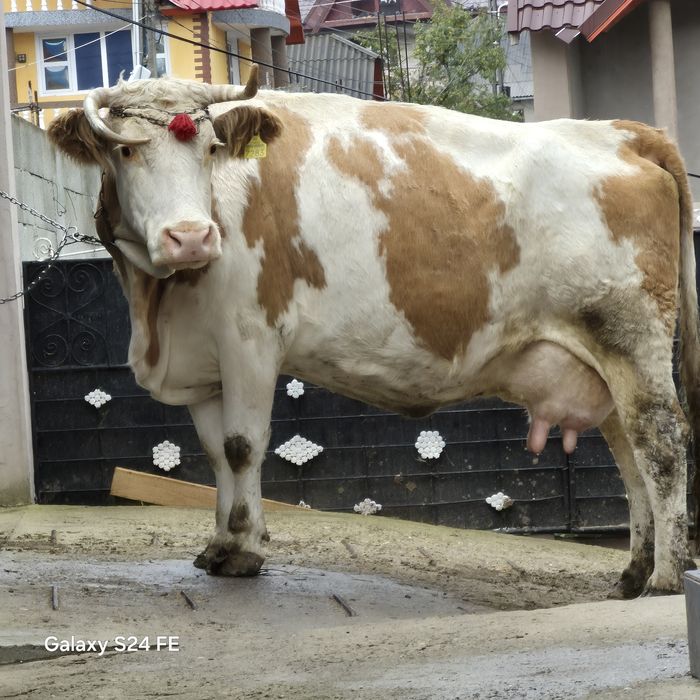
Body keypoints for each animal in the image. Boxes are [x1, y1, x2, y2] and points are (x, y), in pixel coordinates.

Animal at [48, 66, 700, 597]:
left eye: (211, 149)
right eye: (126, 153)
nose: (191, 237)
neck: (157, 306)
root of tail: (622, 132)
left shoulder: (250, 338)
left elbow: (242, 447)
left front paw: (244, 551)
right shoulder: (204, 360)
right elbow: (214, 453)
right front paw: (220, 545)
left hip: (632, 338)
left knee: (660, 443)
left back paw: (666, 578)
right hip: (600, 360)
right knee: (627, 451)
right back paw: (633, 572)